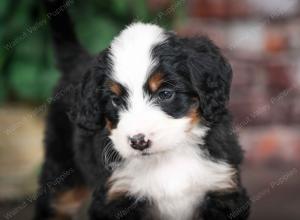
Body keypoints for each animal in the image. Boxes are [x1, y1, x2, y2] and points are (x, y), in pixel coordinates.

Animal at [34, 0, 251, 220]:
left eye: (165, 94)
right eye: (115, 100)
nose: (138, 141)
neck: (166, 159)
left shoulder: (222, 187)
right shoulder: (116, 196)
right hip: (61, 169)